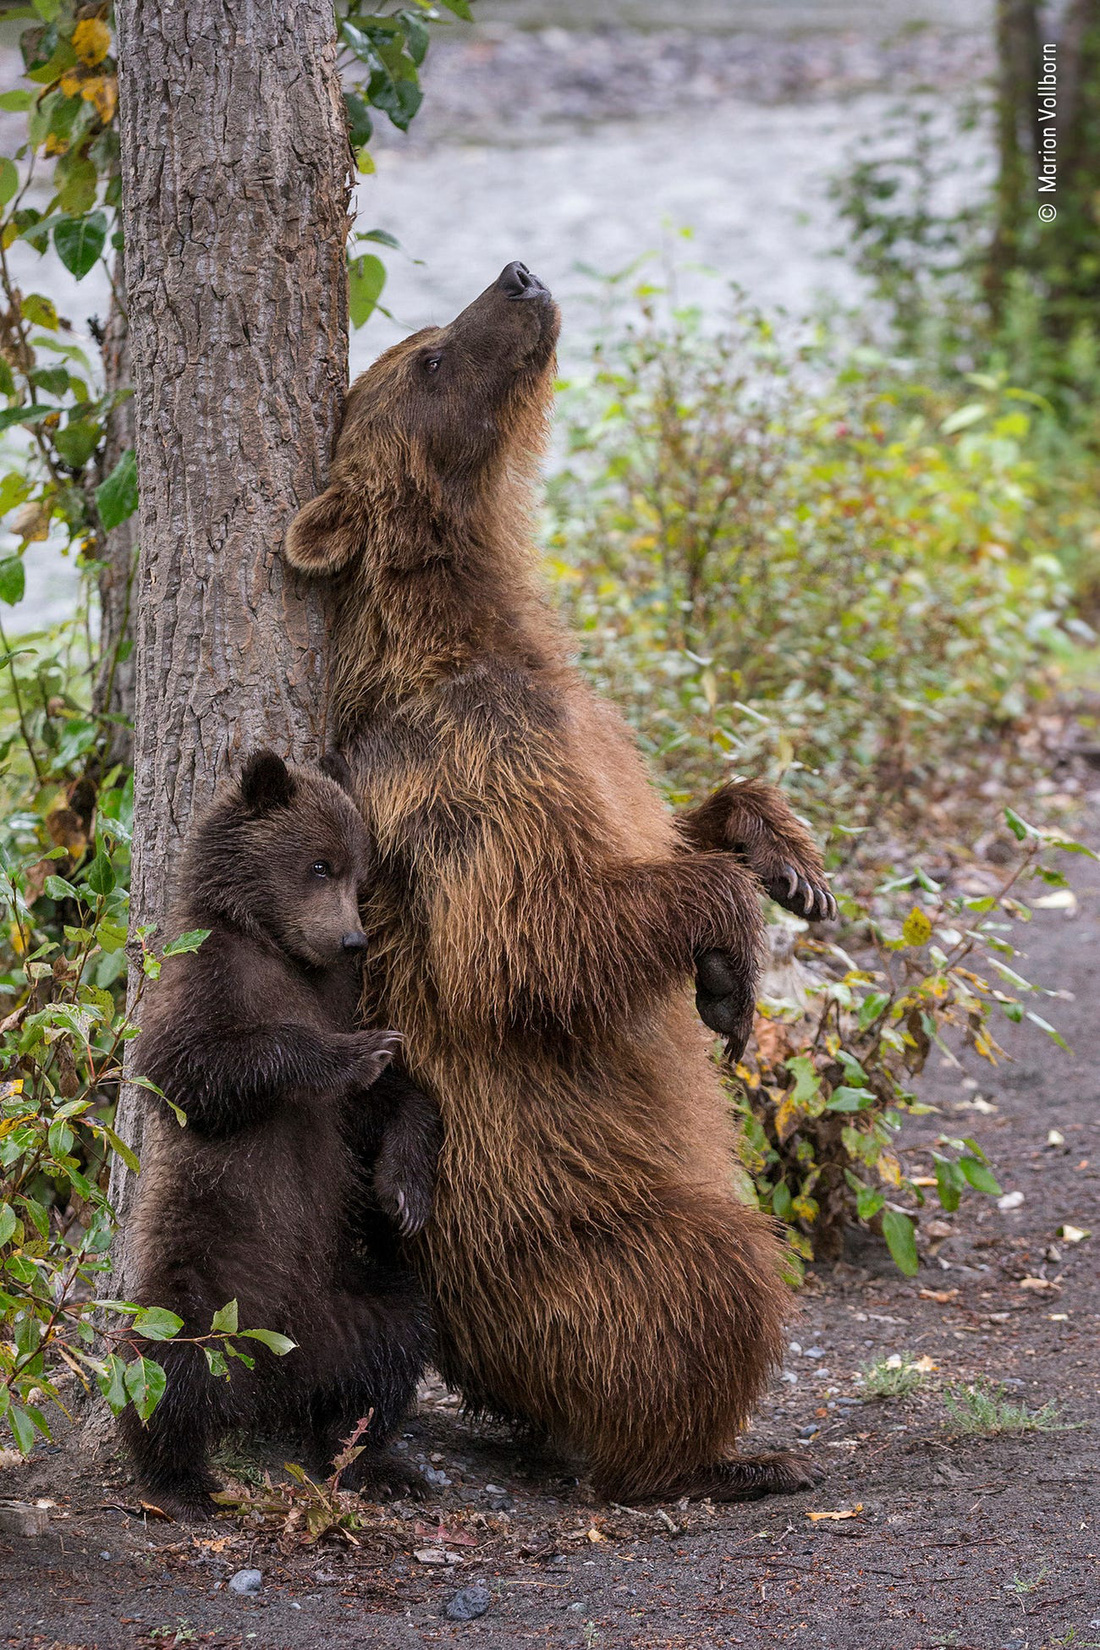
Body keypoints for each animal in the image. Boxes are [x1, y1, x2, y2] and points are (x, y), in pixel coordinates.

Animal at [121, 755, 441, 1511]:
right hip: (204, 1282)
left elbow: (385, 1102)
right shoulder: (202, 976)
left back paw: (374, 1461)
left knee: (392, 1348)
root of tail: (274, 1367)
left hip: (348, 1299)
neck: (276, 947)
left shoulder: (340, 993)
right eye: (320, 865)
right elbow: (190, 1067)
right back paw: (180, 1476)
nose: (353, 939)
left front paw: (404, 1189)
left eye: (362, 876)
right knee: (163, 1364)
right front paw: (352, 1055)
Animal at [283, 260, 834, 1511]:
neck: (477, 632)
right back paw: (720, 1457)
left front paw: (786, 863)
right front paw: (728, 970)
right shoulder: (464, 777)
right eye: (430, 357)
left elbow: (674, 821)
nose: (518, 276)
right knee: (716, 1275)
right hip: (566, 1235)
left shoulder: (587, 733)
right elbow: (532, 939)